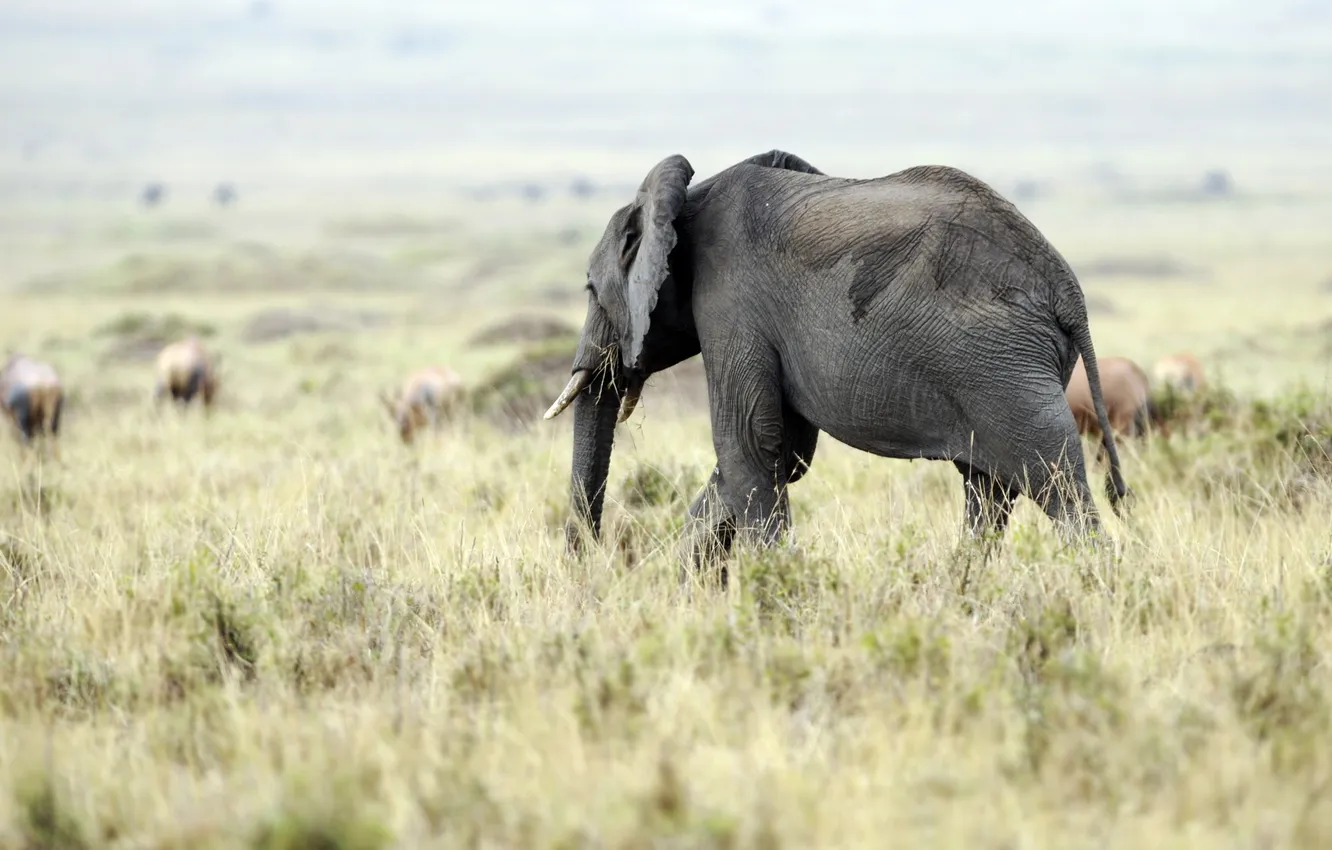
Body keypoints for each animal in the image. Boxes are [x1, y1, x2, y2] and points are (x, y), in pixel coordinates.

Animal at [543, 149, 1129, 571]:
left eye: (590, 290)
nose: (587, 567)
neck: (687, 199)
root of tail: (1067, 291)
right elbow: (783, 453)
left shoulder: (732, 303)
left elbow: (749, 444)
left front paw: (772, 589)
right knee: (988, 489)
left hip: (1004, 370)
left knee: (1055, 481)